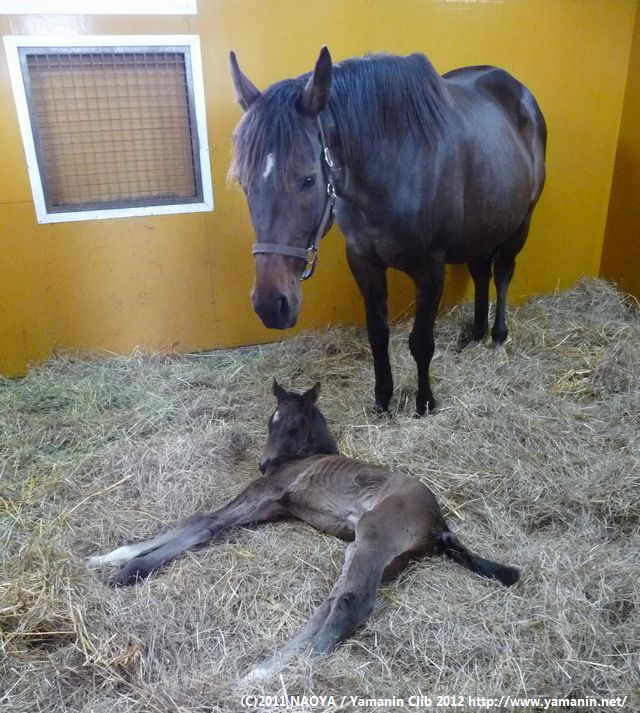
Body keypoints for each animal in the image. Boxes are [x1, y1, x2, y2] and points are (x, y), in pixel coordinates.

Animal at [88, 381, 519, 680]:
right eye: (271, 421)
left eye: (296, 424)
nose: (264, 464)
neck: (304, 457)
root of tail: (440, 525)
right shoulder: (269, 508)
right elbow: (202, 523)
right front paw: (108, 557)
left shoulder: (263, 494)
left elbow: (203, 522)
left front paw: (126, 570)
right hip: (368, 551)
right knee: (335, 601)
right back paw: (260, 672)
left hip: (375, 535)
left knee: (352, 603)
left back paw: (288, 671)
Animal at [229, 47, 546, 415]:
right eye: (244, 183)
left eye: (308, 179)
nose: (270, 304)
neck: (394, 167)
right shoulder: (363, 261)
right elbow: (378, 333)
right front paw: (383, 398)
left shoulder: (430, 268)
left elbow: (421, 342)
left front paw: (425, 402)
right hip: (481, 226)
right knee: (481, 272)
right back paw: (475, 334)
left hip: (520, 223)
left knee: (503, 273)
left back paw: (497, 335)